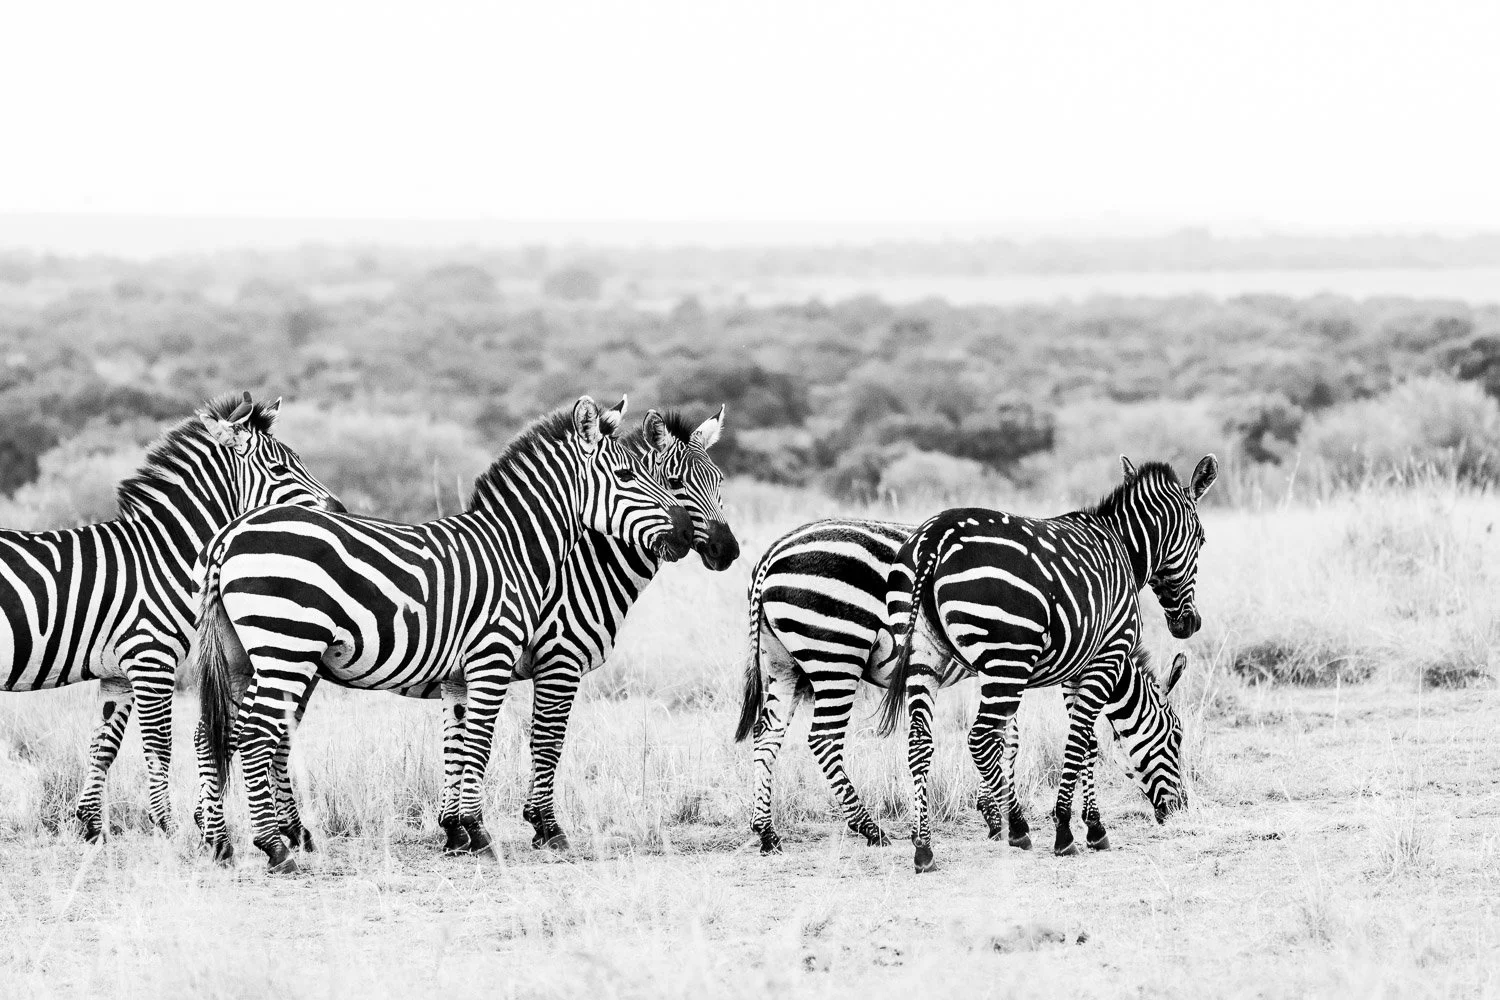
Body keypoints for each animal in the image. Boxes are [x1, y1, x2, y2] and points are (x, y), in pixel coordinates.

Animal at [0, 392, 342, 841]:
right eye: (280, 468)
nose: (339, 510)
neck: (163, 555)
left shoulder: (117, 673)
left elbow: (104, 746)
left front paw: (90, 826)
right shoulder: (151, 659)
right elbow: (159, 745)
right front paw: (168, 827)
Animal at [194, 396, 695, 872]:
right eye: (628, 474)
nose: (687, 535)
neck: (513, 549)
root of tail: (231, 532)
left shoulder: (457, 674)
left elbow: (456, 745)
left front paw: (458, 834)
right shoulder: (495, 655)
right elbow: (483, 742)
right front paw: (484, 833)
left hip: (244, 655)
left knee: (221, 732)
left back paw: (229, 842)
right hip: (287, 646)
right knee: (255, 735)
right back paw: (276, 849)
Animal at [734, 517, 1182, 854]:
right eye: (1177, 738)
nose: (1179, 810)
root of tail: (772, 553)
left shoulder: (1000, 667)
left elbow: (1006, 736)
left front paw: (993, 813)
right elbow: (1078, 742)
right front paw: (1031, 820)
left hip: (784, 663)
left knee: (767, 735)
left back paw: (767, 832)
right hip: (836, 652)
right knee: (823, 739)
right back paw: (869, 828)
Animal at [877, 455, 1216, 871]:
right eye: (1177, 736)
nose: (1189, 624)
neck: (1123, 548)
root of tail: (933, 538)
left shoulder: (1076, 670)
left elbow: (1087, 745)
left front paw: (1093, 826)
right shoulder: (1108, 656)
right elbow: (1078, 741)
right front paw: (1067, 830)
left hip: (923, 656)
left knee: (920, 743)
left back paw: (924, 847)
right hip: (1006, 658)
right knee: (981, 738)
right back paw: (1017, 827)